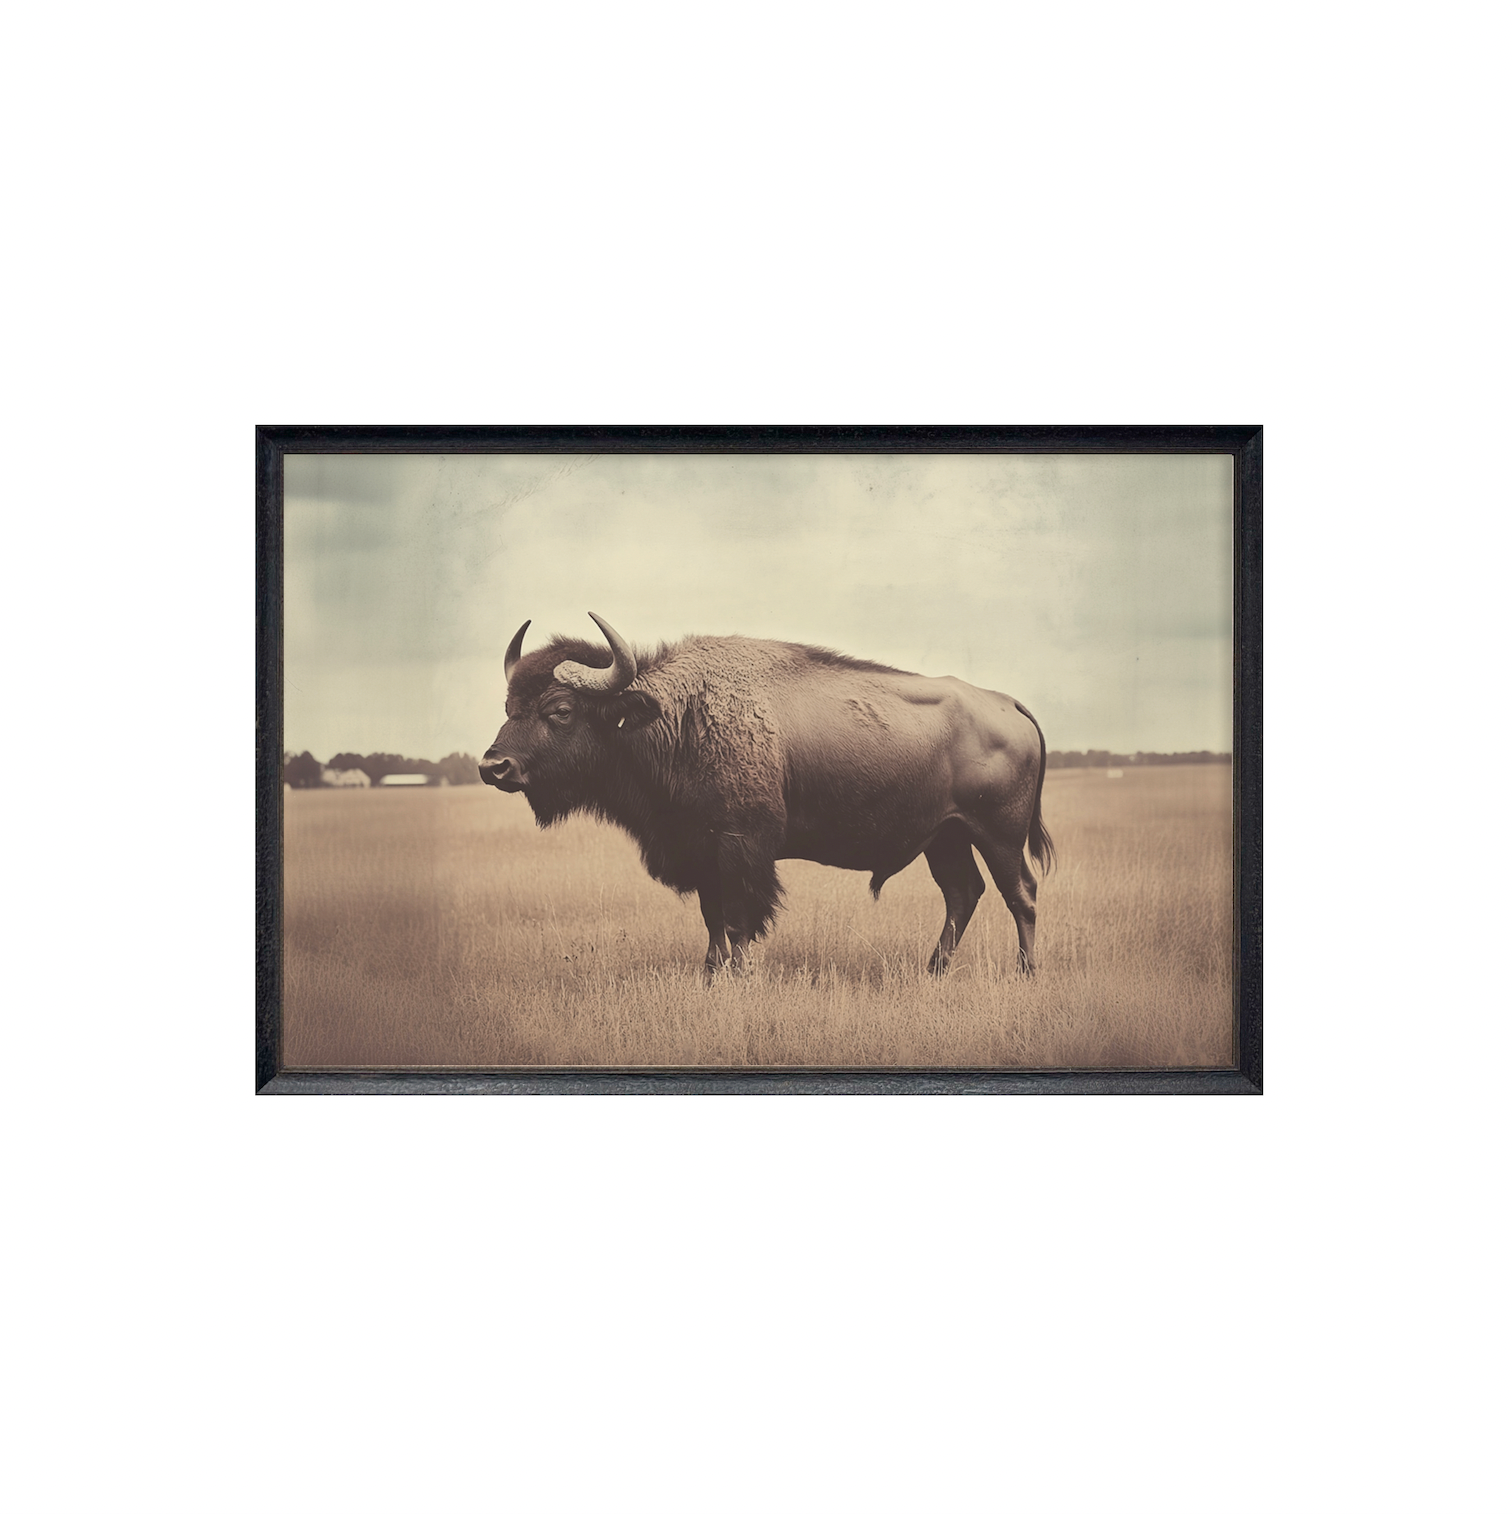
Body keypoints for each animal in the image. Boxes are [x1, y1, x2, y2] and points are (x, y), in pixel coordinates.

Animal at [479, 614, 1054, 976]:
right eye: (508, 706)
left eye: (559, 710)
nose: (493, 766)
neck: (676, 719)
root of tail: (1007, 704)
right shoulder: (701, 852)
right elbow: (713, 921)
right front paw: (710, 976)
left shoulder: (741, 850)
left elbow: (738, 922)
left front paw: (737, 978)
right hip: (945, 837)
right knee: (963, 893)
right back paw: (932, 970)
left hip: (998, 835)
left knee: (1020, 893)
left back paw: (1025, 973)